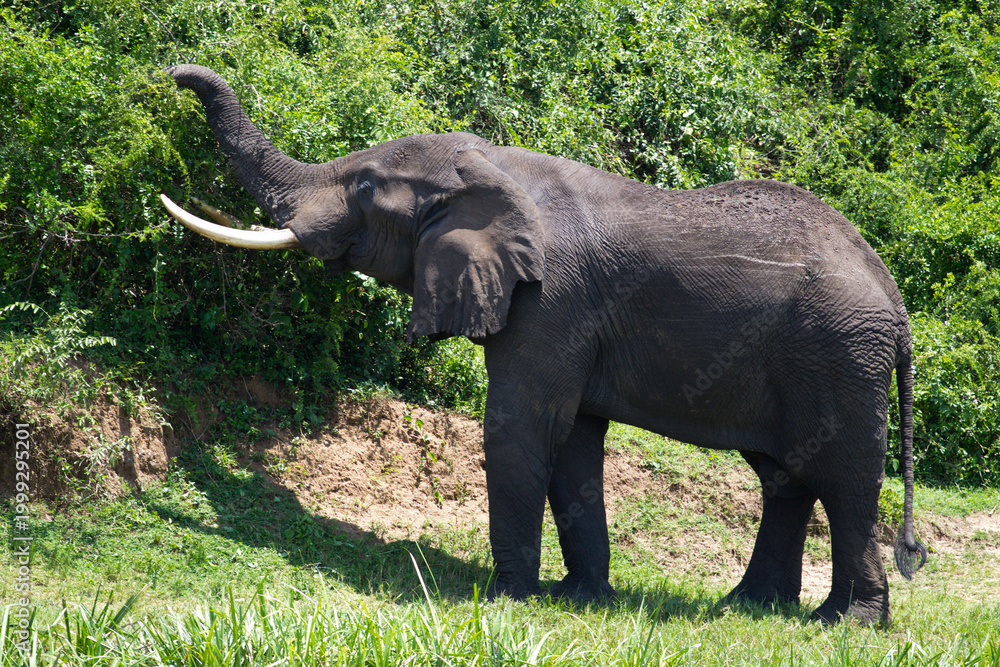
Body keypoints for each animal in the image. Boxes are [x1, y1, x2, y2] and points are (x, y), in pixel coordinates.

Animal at [159, 65, 926, 625]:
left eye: (368, 188)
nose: (170, 74)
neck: (494, 167)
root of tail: (895, 302)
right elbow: (576, 440)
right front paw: (578, 599)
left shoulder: (551, 300)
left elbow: (523, 425)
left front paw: (502, 599)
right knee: (785, 475)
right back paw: (753, 608)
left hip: (839, 355)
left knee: (844, 479)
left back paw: (848, 623)